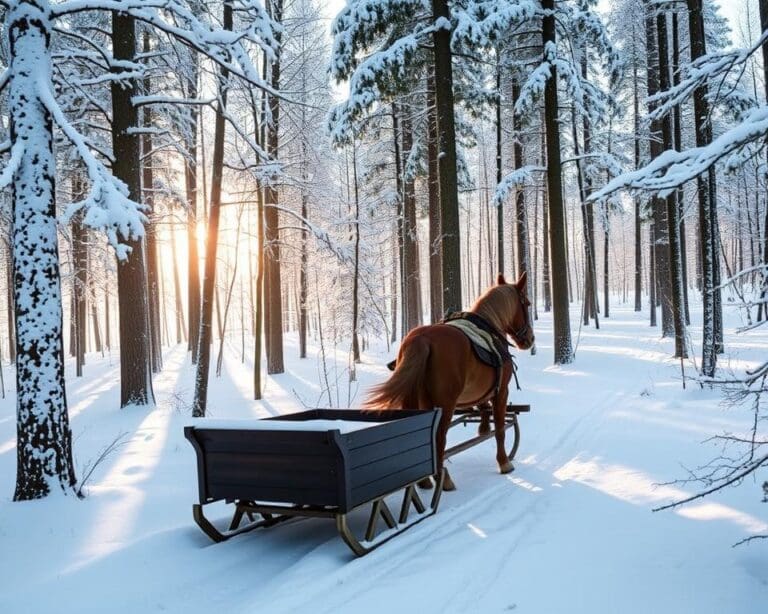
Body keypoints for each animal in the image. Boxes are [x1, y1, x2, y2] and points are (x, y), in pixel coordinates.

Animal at [362, 274, 532, 490]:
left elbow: (484, 410)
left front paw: (483, 427)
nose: (530, 339)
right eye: (527, 303)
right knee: (439, 437)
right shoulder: (501, 392)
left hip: (418, 403)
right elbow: (500, 429)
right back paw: (444, 479)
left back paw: (425, 480)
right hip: (446, 404)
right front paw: (504, 462)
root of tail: (422, 339)